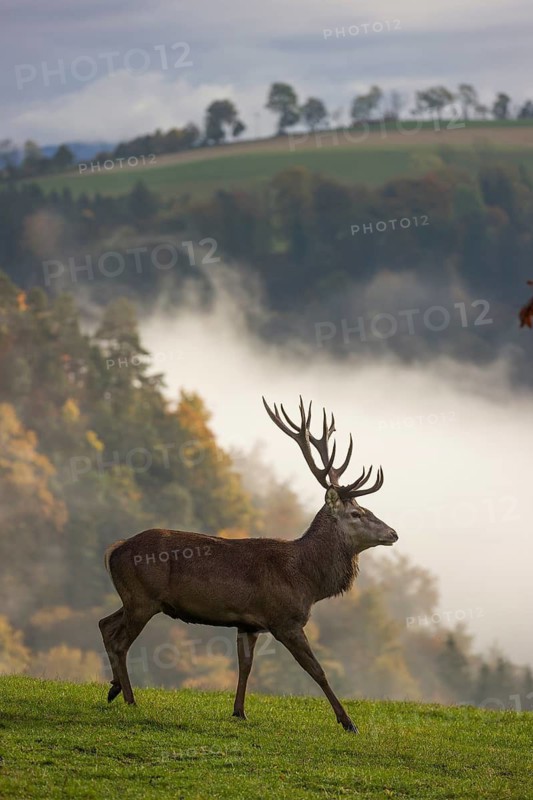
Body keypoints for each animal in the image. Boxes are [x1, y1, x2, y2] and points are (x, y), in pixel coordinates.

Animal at [99, 397, 398, 733]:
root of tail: (115, 549)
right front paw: (348, 722)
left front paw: (239, 711)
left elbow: (245, 666)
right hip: (143, 598)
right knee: (120, 641)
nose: (393, 533)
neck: (307, 580)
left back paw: (114, 688)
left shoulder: (248, 623)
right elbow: (317, 670)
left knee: (105, 624)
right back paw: (129, 698)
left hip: (133, 598)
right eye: (357, 513)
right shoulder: (285, 619)